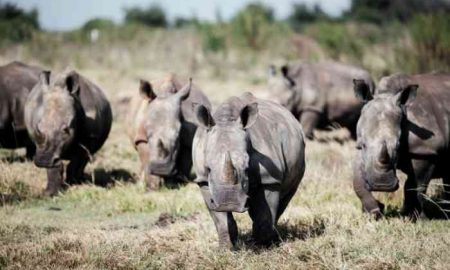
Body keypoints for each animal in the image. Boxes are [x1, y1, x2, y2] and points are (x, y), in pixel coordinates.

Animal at [193, 92, 306, 247]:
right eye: (208, 169)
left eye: (246, 168)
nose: (229, 204)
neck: (226, 120)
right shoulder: (203, 181)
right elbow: (221, 220)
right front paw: (226, 247)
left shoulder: (269, 179)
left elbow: (264, 216)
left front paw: (262, 246)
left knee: (286, 196)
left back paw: (273, 237)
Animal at [354, 73, 450, 219]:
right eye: (363, 144)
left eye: (398, 145)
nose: (381, 185)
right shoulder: (362, 150)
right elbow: (357, 180)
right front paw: (374, 211)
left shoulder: (425, 151)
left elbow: (415, 185)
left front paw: (414, 218)